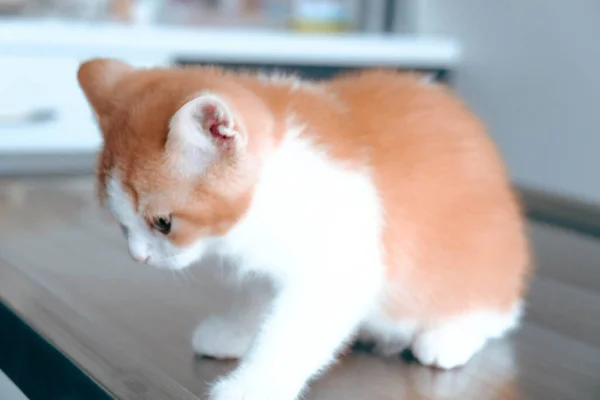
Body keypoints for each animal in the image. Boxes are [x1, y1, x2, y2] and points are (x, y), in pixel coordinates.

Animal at [78, 59, 528, 400]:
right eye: (121, 223)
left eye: (163, 223)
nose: (139, 256)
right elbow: (259, 296)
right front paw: (234, 332)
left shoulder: (341, 266)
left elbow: (291, 332)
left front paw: (253, 385)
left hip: (478, 262)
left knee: (497, 313)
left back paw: (448, 337)